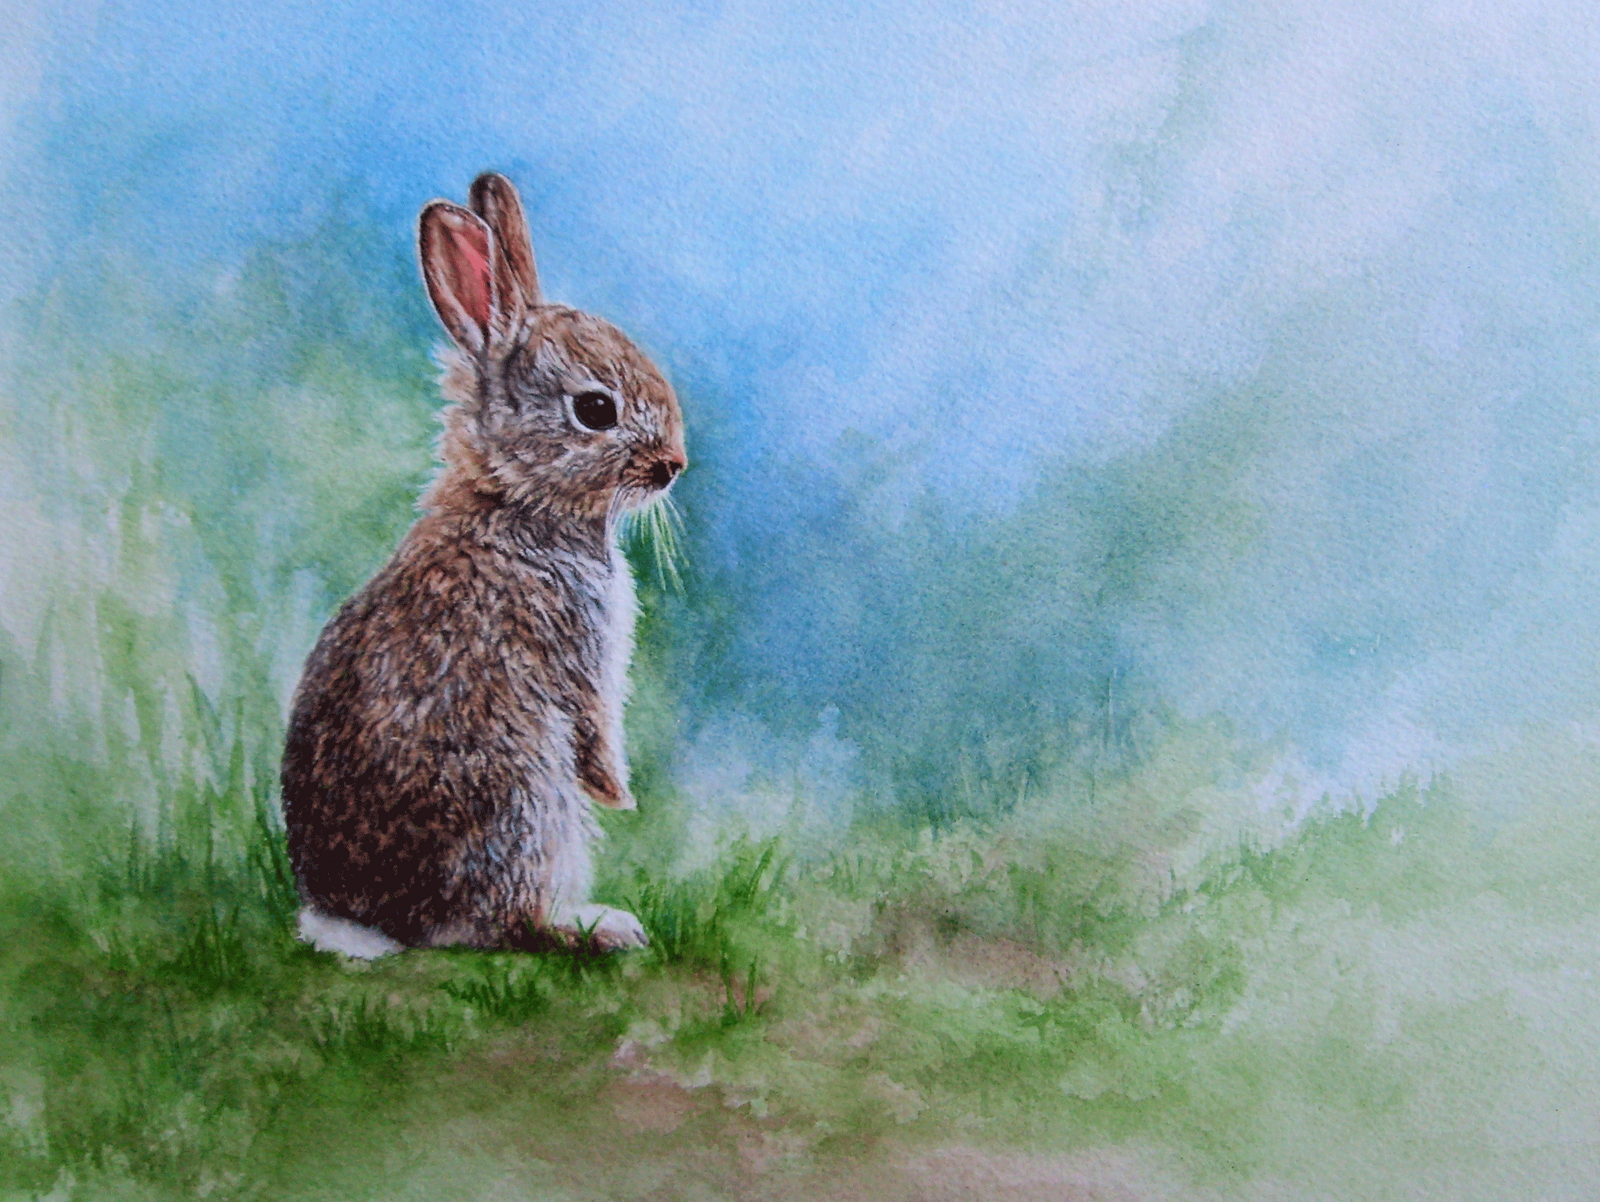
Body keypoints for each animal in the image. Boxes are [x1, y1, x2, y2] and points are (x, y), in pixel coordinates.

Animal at [281, 172, 686, 959]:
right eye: (596, 409)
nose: (673, 465)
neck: (515, 497)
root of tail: (373, 919)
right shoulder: (578, 651)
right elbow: (598, 731)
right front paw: (619, 794)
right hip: (526, 799)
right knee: (505, 921)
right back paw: (604, 927)